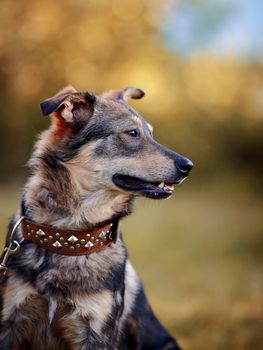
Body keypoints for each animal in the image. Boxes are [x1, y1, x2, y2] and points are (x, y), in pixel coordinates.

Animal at [0, 85, 194, 350]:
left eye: (151, 134)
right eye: (132, 133)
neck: (67, 237)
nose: (188, 166)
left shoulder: (96, 333)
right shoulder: (10, 321)